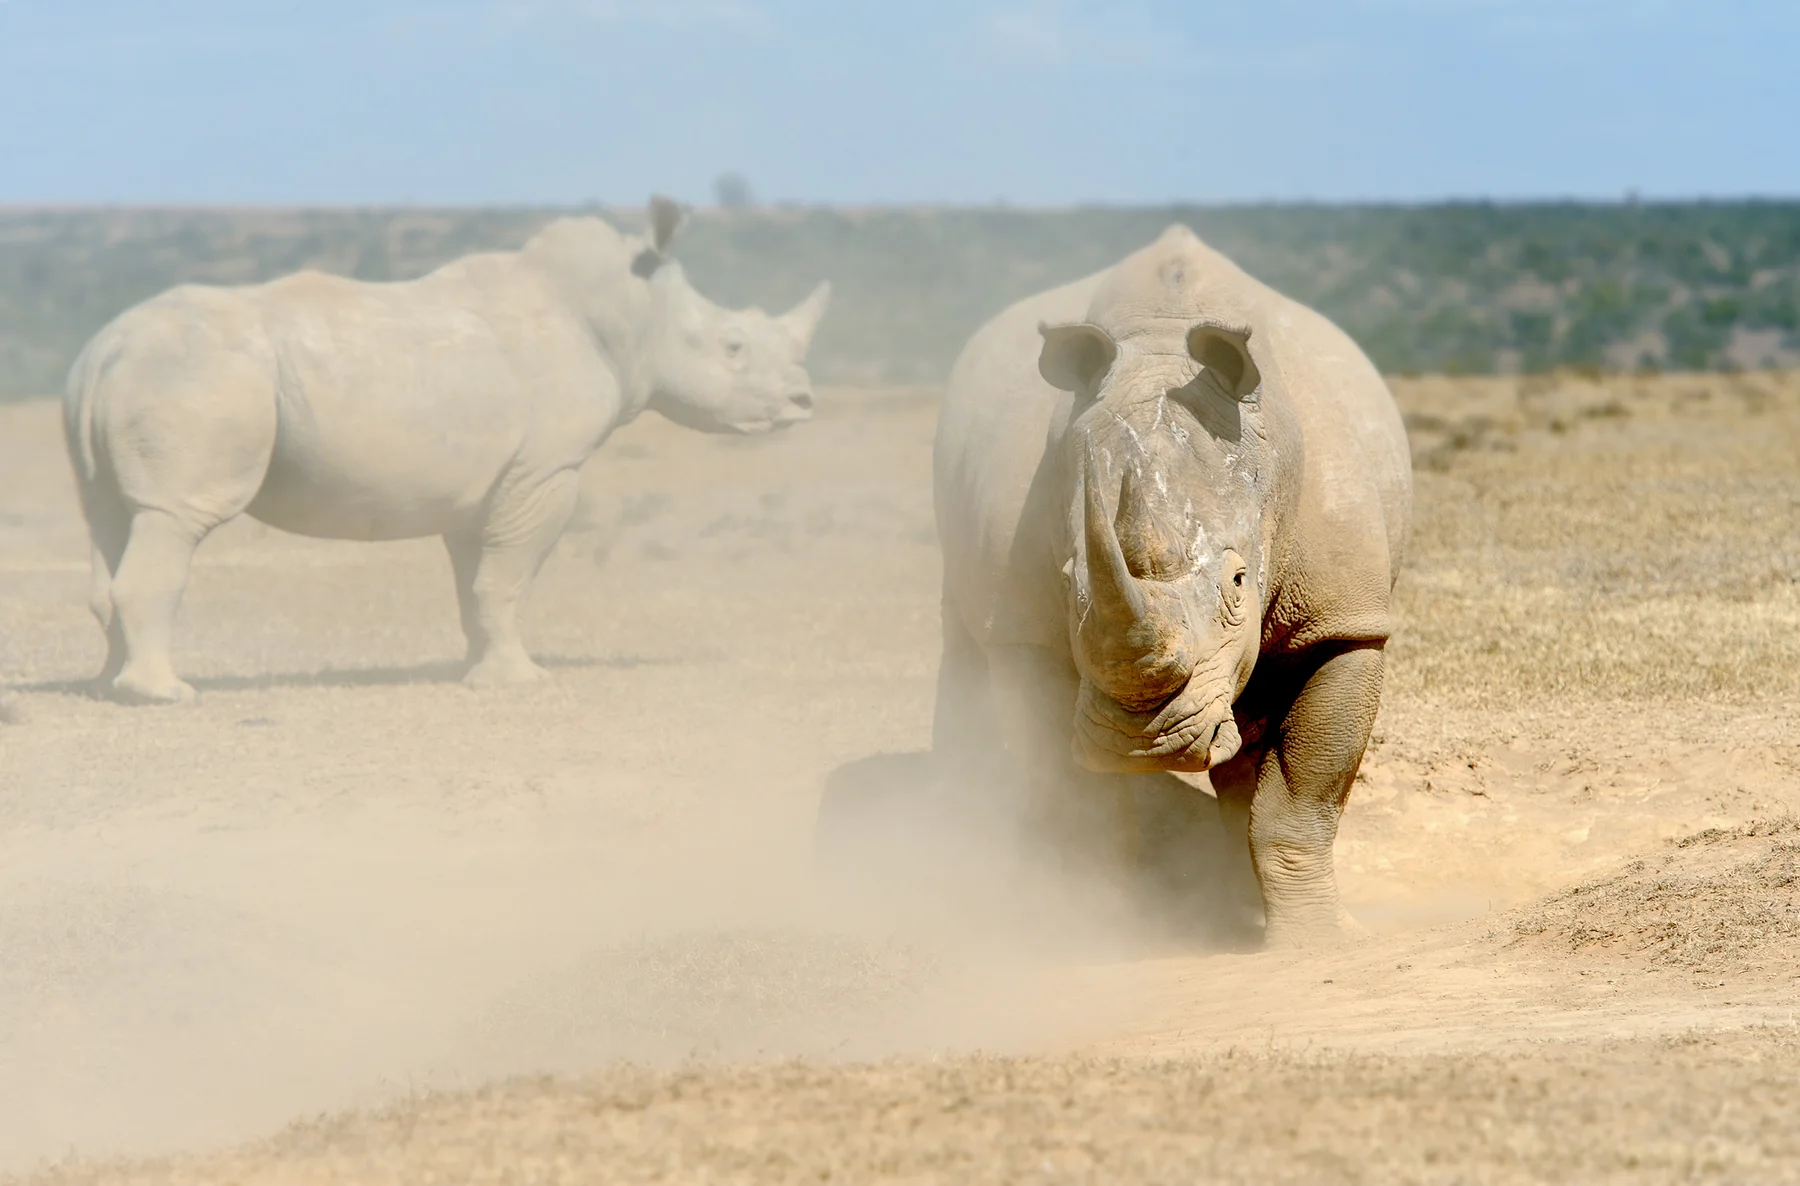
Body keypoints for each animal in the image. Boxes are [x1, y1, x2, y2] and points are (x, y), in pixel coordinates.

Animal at [64, 197, 830, 703]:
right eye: (734, 346)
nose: (803, 401)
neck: (630, 315)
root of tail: (105, 347)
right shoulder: (545, 471)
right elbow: (507, 578)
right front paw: (521, 681)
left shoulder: (490, 480)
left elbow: (478, 582)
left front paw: (475, 670)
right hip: (196, 378)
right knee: (177, 518)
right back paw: (166, 694)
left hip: (119, 380)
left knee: (111, 517)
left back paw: (107, 687)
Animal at [932, 226, 1411, 946]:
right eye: (1069, 579)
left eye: (1239, 581)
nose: (1146, 741)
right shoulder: (1026, 631)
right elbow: (1078, 803)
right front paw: (1097, 931)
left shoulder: (1344, 621)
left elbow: (1302, 795)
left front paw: (1317, 944)